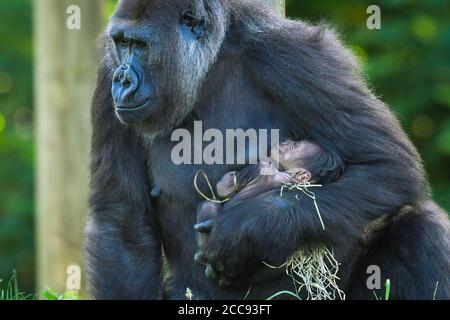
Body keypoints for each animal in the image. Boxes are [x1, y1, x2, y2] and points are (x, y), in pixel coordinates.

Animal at [195, 139, 342, 284]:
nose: (285, 142)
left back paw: (205, 263)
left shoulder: (260, 167)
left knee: (208, 206)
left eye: (294, 145)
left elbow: (224, 189)